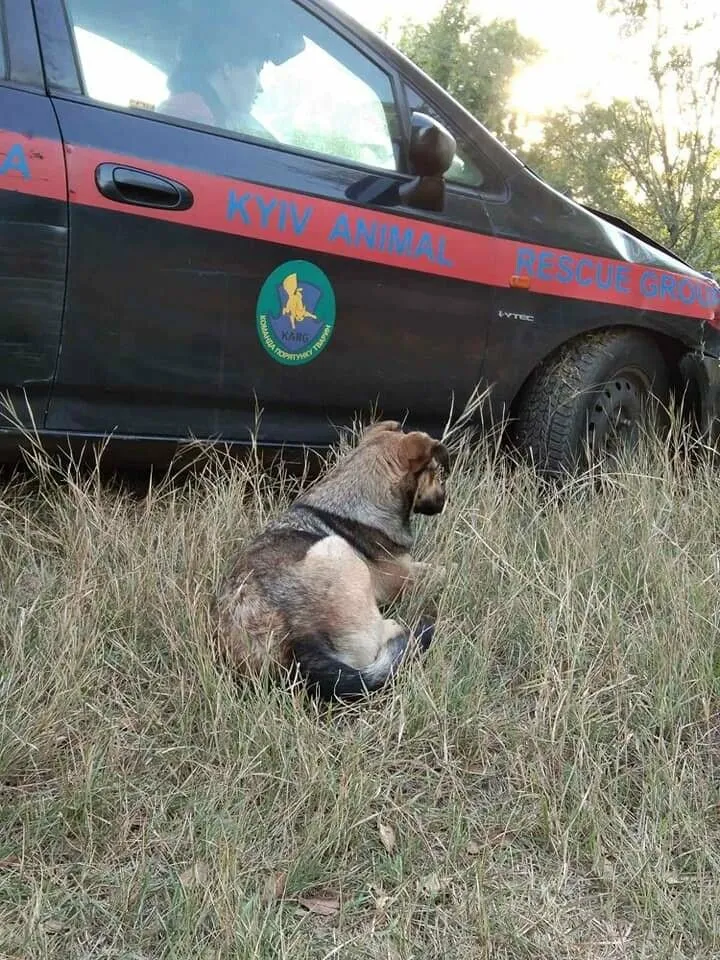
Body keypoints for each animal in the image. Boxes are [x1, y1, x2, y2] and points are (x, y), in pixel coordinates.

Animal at [215, 420, 450, 696]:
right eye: (434, 471)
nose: (444, 500)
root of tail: (295, 639)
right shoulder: (405, 577)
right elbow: (444, 570)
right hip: (337, 549)